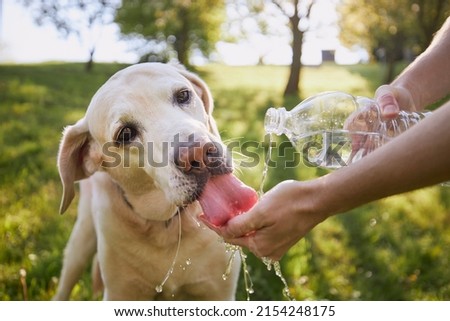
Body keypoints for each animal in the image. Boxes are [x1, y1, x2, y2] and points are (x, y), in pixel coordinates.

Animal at [52, 63, 241, 300]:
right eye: (125, 133)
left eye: (183, 95)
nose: (197, 152)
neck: (168, 226)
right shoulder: (120, 294)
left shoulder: (219, 292)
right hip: (81, 238)